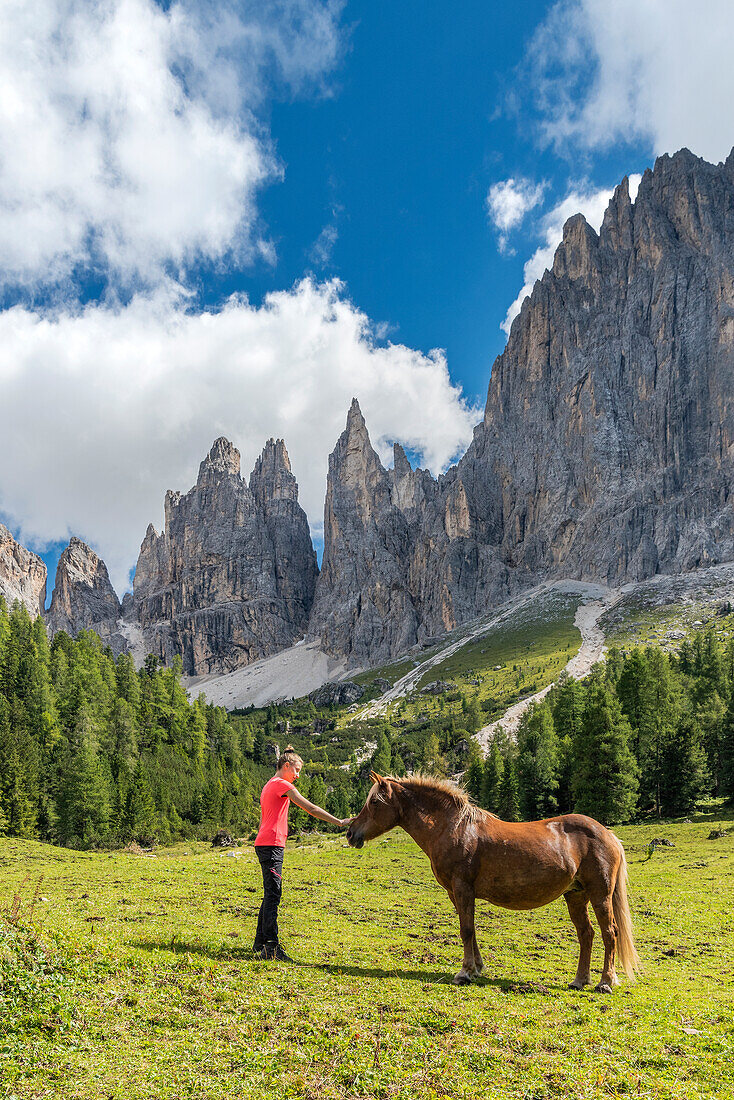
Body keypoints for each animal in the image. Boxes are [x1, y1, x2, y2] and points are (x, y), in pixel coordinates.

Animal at [347, 770, 638, 994]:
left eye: (374, 802)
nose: (351, 833)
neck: (454, 828)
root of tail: (608, 835)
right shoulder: (456, 893)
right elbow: (471, 929)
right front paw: (476, 968)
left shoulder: (463, 889)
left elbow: (466, 930)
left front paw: (464, 973)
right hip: (576, 895)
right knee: (586, 934)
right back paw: (579, 980)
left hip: (600, 895)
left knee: (609, 932)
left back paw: (605, 982)